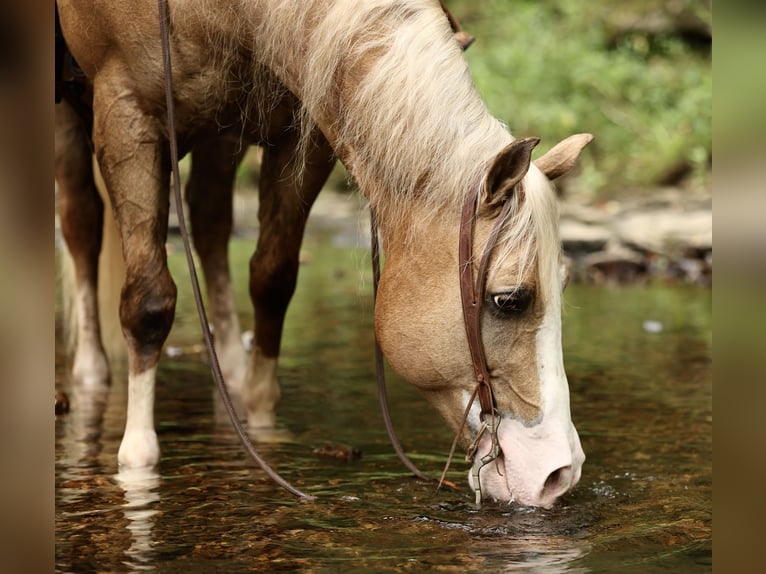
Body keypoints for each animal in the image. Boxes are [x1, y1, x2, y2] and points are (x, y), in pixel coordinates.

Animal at [56, 0, 592, 507]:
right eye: (510, 300)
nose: (560, 475)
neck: (229, 13)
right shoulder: (126, 115)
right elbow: (149, 303)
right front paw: (137, 459)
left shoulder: (303, 134)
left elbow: (272, 280)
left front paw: (260, 417)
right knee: (82, 222)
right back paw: (90, 371)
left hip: (221, 132)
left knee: (209, 222)